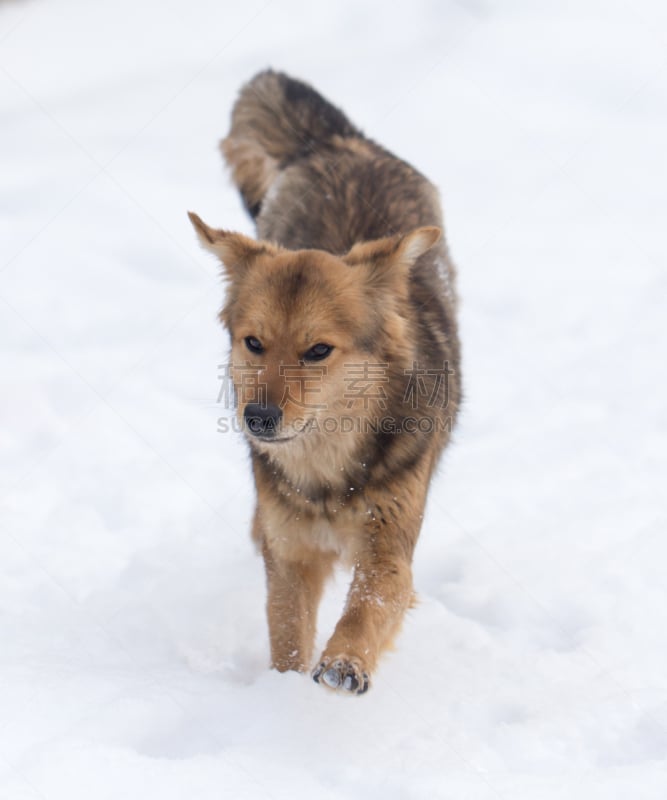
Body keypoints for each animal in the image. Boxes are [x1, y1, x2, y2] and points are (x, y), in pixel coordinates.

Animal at [188, 70, 460, 692]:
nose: (259, 419)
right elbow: (287, 628)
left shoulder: (389, 542)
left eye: (318, 351)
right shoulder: (291, 552)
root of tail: (338, 142)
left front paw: (343, 662)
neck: (329, 477)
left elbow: (371, 602)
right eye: (254, 342)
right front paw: (283, 686)